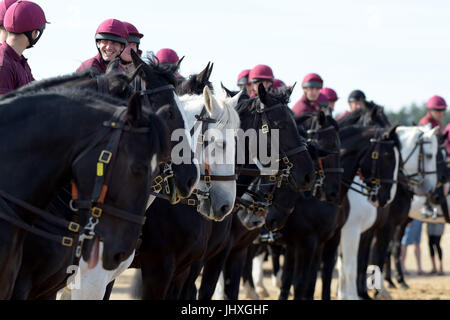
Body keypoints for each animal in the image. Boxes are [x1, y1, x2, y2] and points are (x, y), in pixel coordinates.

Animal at [338, 125, 440, 300]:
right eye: (429, 155)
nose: (432, 190)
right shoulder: (376, 228)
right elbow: (372, 257)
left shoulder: (368, 231)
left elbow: (360, 261)